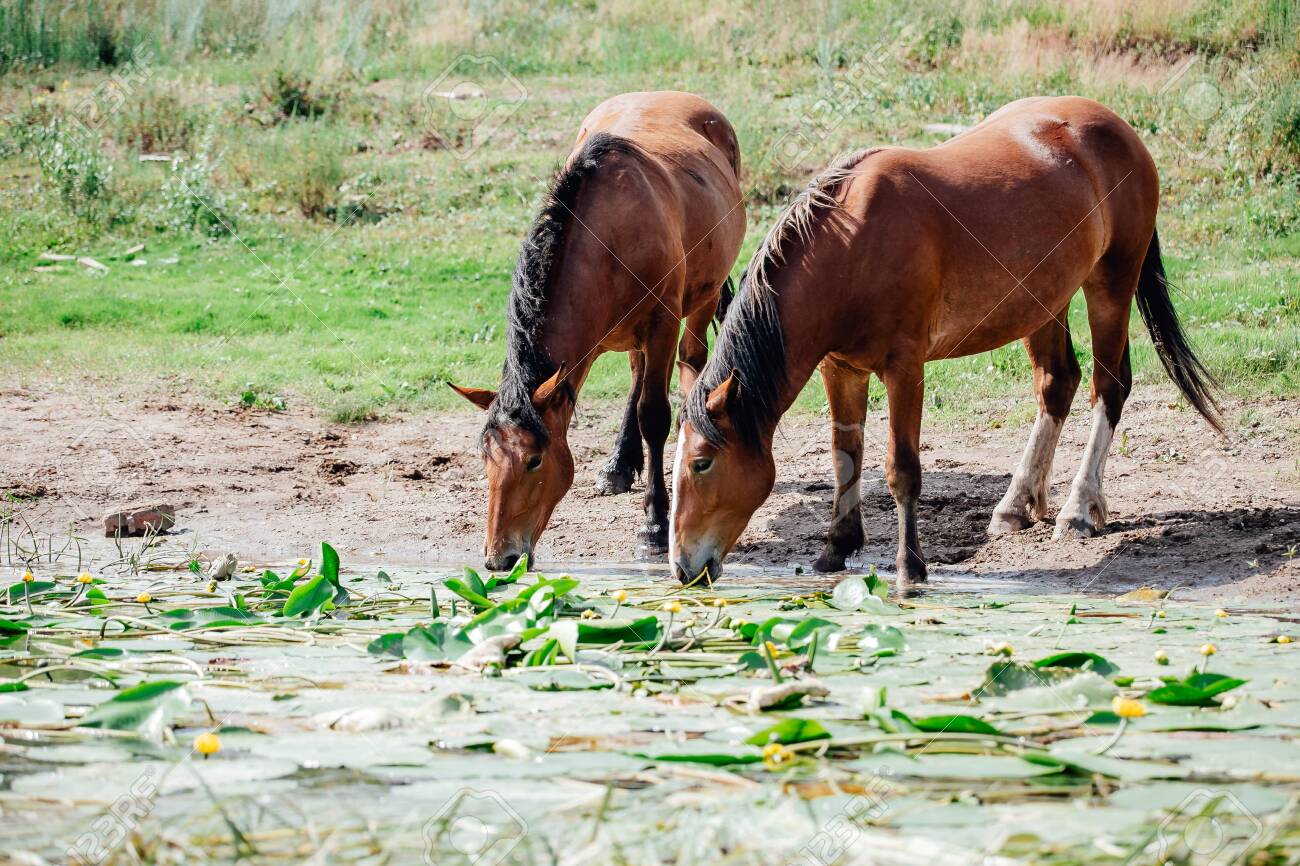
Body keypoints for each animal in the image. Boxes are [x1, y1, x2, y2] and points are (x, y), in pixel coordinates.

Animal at [450, 91, 746, 571]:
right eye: (485, 457)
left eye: (533, 460)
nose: (498, 558)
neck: (608, 238)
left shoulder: (662, 324)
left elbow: (653, 415)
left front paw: (654, 525)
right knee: (638, 375)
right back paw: (619, 465)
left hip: (701, 299)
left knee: (690, 359)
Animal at [669, 96, 1221, 590]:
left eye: (701, 462)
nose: (681, 567)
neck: (850, 245)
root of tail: (1117, 127)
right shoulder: (840, 369)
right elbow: (845, 455)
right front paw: (836, 548)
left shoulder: (905, 368)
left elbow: (902, 470)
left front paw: (910, 568)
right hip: (1046, 304)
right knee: (1057, 386)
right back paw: (1016, 505)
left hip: (1111, 284)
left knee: (1109, 388)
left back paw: (1079, 510)